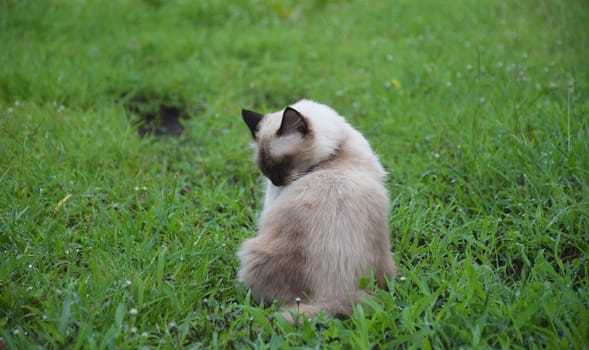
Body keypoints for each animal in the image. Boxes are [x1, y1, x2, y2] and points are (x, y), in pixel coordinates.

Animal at [237, 99, 398, 322]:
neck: (335, 151)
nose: (276, 182)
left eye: (280, 164)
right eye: (264, 169)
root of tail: (337, 293)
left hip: (249, 252)